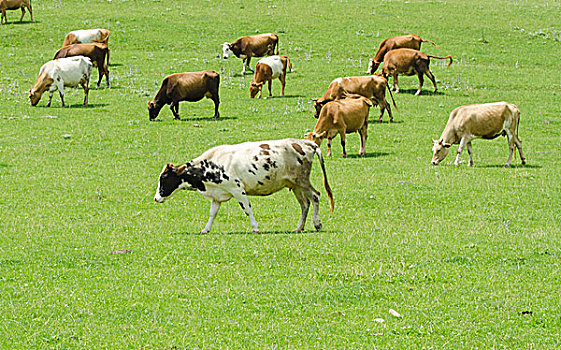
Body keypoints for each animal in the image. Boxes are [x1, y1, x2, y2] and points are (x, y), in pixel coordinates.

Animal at [153, 138, 332, 234]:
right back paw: (299, 227)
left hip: (302, 181)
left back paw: (317, 223)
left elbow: (247, 209)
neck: (212, 165)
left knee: (315, 196)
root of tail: (306, 143)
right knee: (305, 204)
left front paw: (255, 228)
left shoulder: (238, 190)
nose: (156, 198)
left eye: (164, 178)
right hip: (295, 185)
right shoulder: (217, 195)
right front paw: (206, 229)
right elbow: (212, 213)